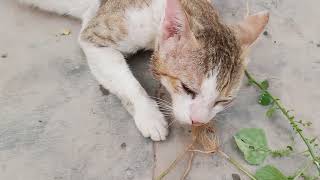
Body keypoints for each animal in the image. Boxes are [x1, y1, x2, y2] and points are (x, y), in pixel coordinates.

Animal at [18, 0, 268, 141]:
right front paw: (149, 115)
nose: (198, 121)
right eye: (187, 88)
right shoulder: (94, 37)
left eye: (223, 101)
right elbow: (129, 84)